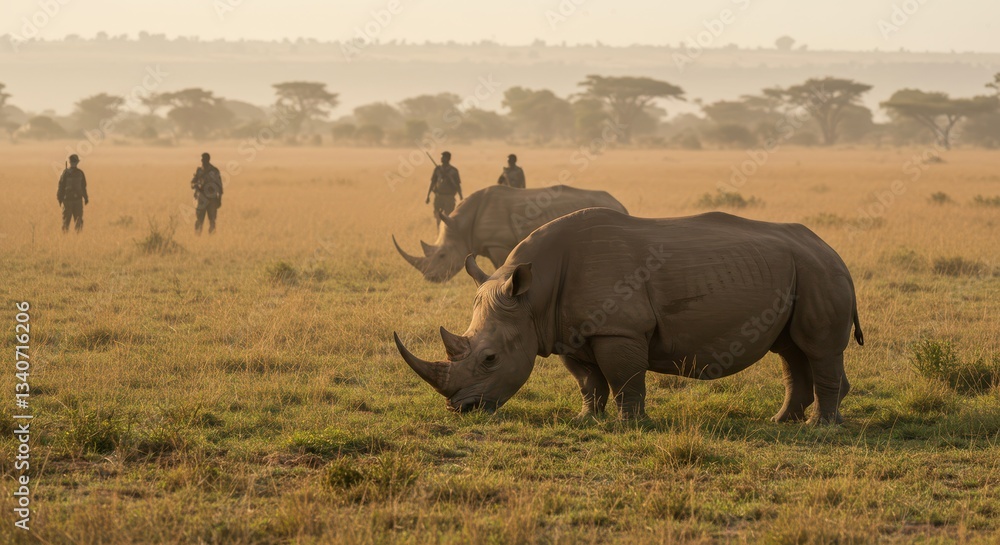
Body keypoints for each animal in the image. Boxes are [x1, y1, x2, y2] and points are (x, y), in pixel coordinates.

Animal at [393, 184, 627, 282]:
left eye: (442, 255)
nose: (430, 278)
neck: (462, 227)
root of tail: (620, 205)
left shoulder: (498, 244)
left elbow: (500, 267)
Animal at [394, 208, 865, 424]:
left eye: (490, 358)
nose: (462, 409)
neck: (532, 297)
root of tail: (833, 251)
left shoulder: (618, 329)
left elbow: (624, 377)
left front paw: (630, 425)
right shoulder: (566, 331)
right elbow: (588, 380)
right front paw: (586, 419)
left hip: (819, 273)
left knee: (817, 349)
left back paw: (819, 427)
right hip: (801, 271)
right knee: (791, 351)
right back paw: (783, 421)